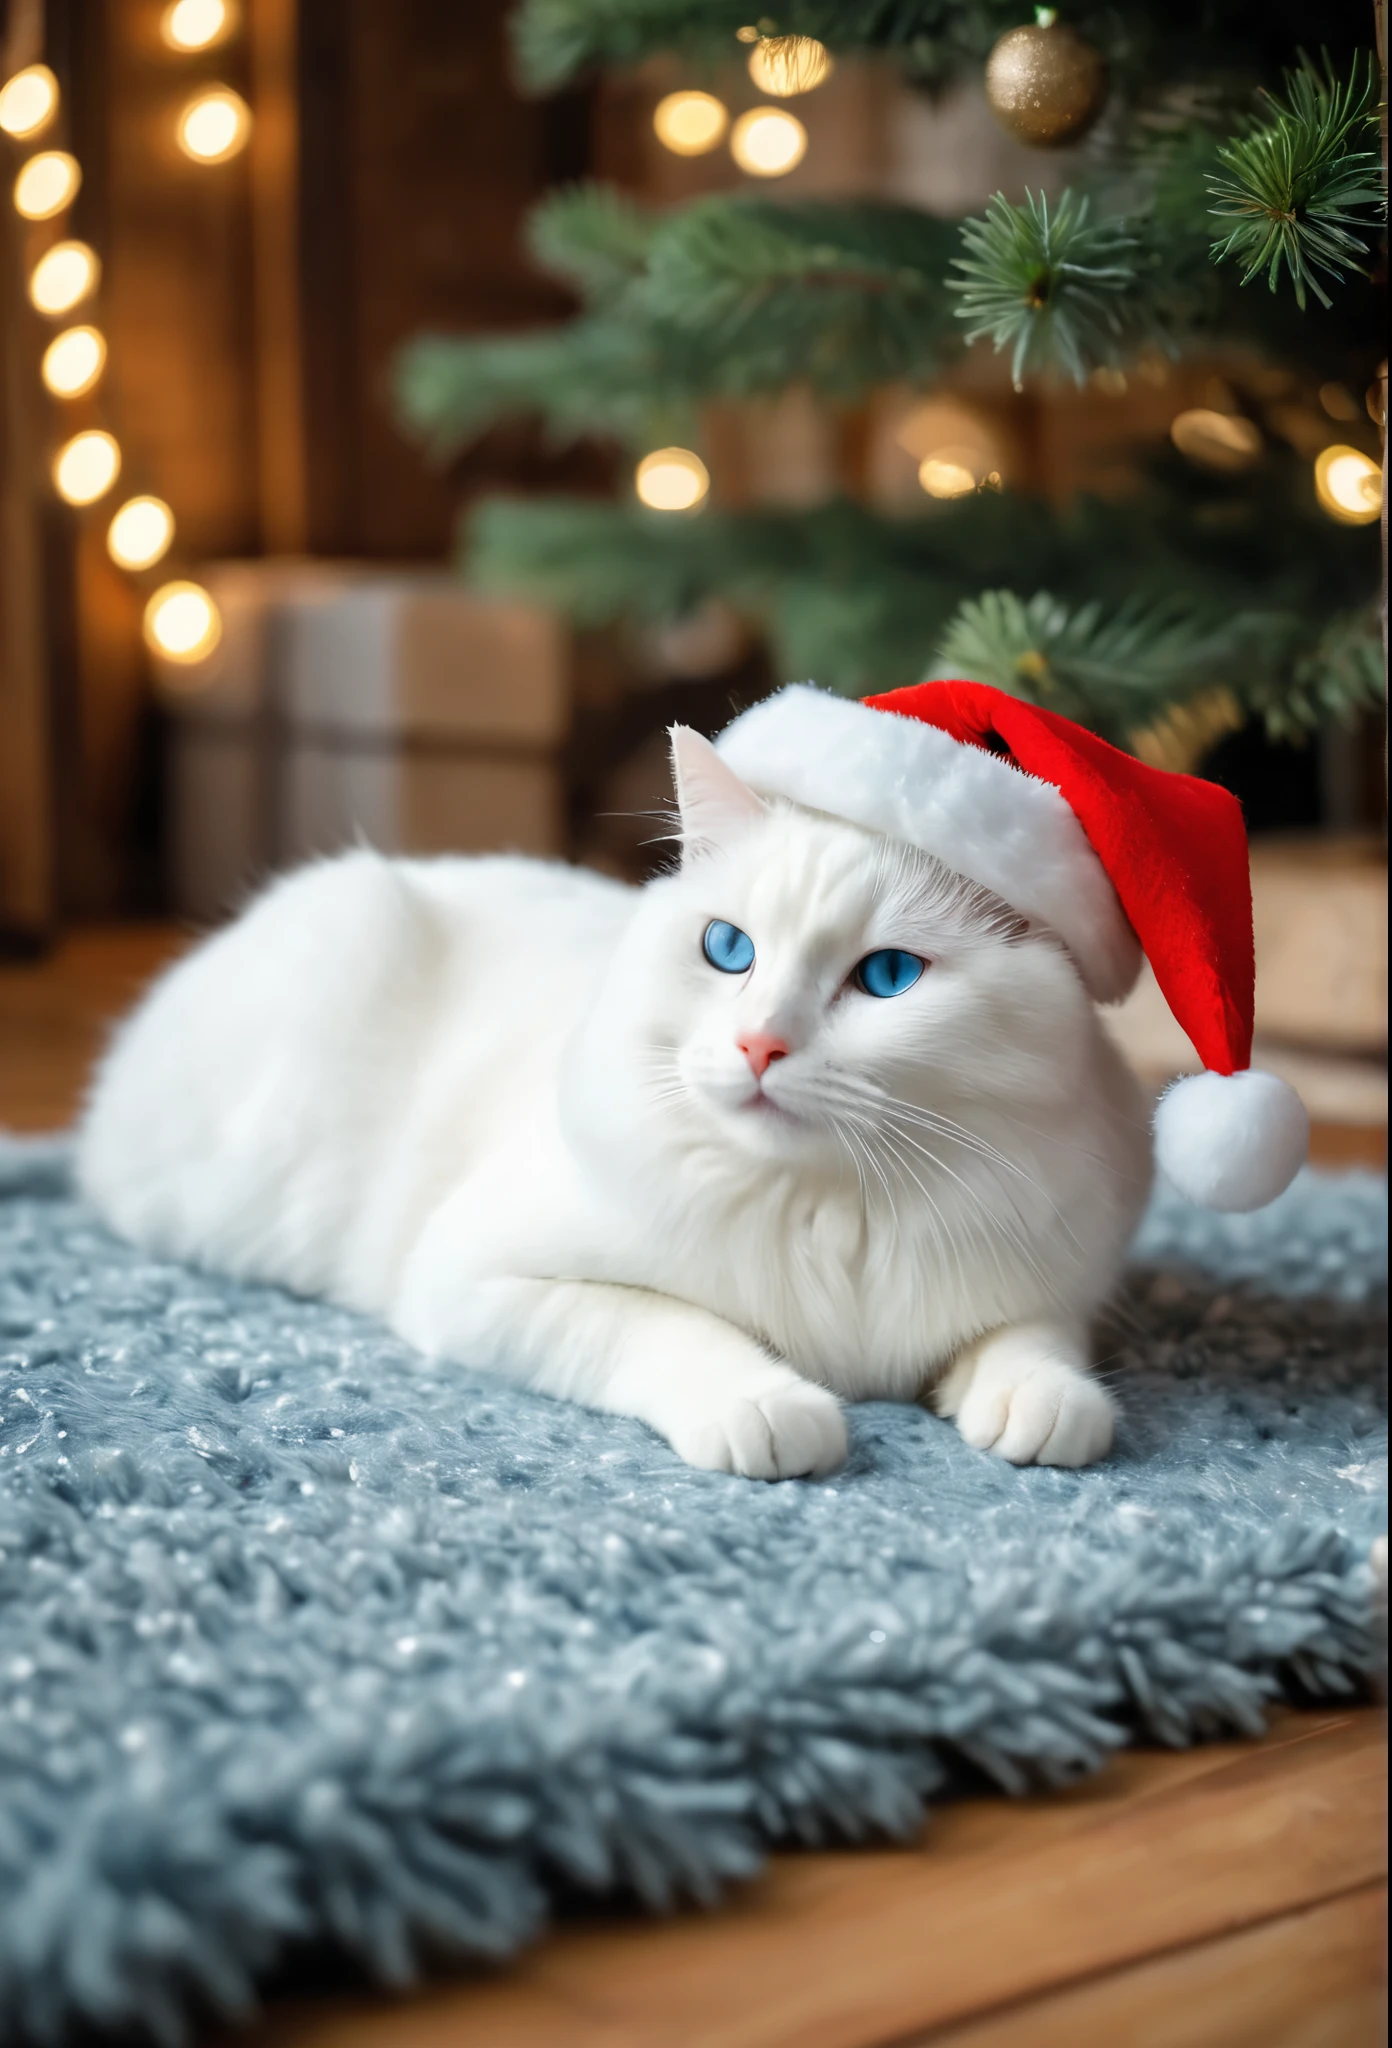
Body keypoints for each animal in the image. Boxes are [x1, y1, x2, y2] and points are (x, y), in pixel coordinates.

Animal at [73, 729, 1154, 1482]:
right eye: (728, 950)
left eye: (888, 977)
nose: (759, 1044)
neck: (832, 1203)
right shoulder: (477, 1278)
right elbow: (670, 1326)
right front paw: (772, 1408)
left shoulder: (1051, 1270)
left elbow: (1031, 1337)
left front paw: (1042, 1400)